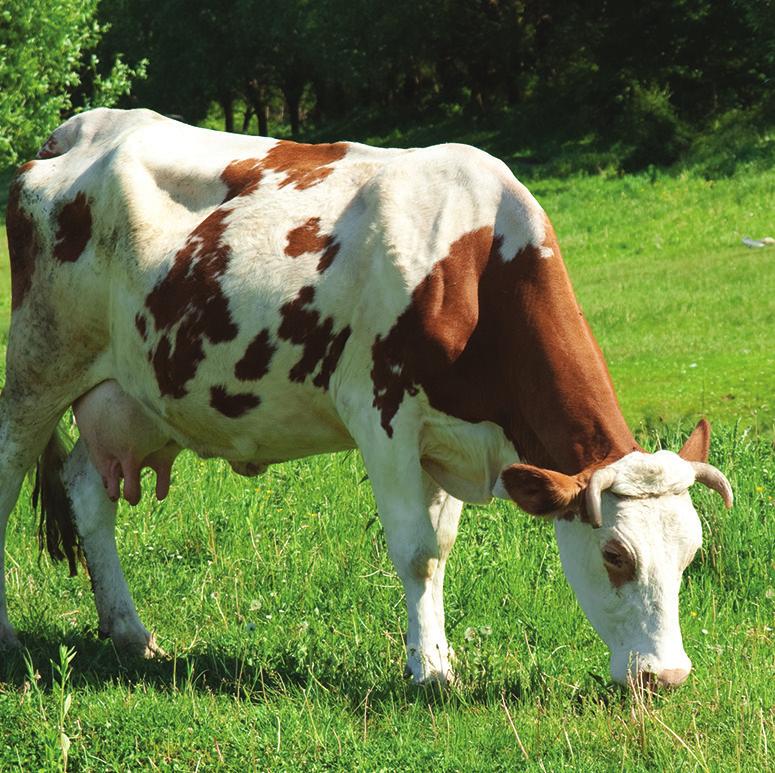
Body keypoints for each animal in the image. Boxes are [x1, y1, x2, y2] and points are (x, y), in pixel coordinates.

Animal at [1, 108, 732, 688]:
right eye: (615, 556)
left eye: (691, 554)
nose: (667, 676)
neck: (472, 261)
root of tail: (77, 129)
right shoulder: (382, 415)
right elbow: (415, 550)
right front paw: (429, 672)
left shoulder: (448, 436)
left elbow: (439, 549)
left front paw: (438, 654)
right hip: (40, 359)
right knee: (10, 472)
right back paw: (10, 636)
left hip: (126, 396)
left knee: (87, 490)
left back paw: (129, 631)